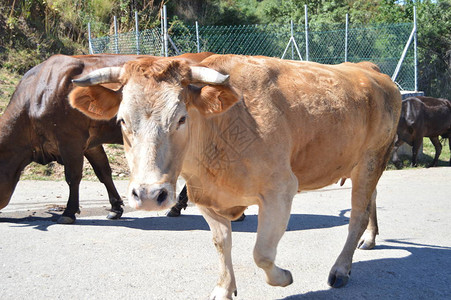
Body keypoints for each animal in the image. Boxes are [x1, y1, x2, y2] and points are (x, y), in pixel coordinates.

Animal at [0, 52, 213, 224]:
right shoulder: (90, 144)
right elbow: (103, 172)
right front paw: (115, 208)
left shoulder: (70, 141)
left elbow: (73, 177)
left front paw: (69, 212)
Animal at [69, 55, 400, 298]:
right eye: (122, 120)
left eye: (181, 118)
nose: (150, 196)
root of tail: (368, 69)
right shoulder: (205, 197)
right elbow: (221, 243)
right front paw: (224, 288)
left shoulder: (280, 191)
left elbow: (262, 253)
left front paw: (283, 277)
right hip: (364, 165)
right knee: (371, 200)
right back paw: (370, 239)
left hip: (373, 158)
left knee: (357, 215)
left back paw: (341, 269)